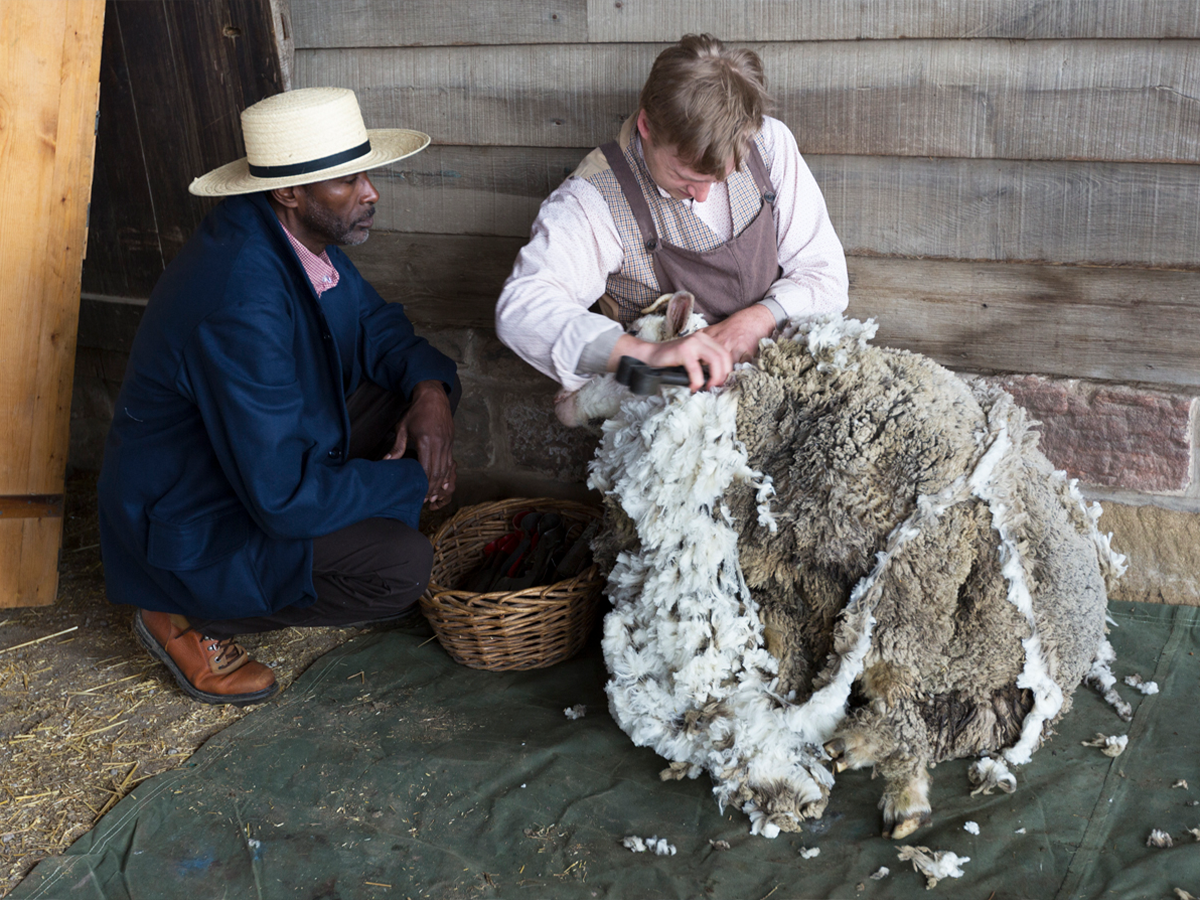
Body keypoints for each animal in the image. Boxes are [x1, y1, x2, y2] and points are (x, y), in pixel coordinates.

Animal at [585, 301, 1127, 840]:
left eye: (635, 335)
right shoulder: (785, 586)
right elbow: (785, 651)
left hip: (922, 593)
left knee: (909, 694)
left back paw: (892, 788)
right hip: (970, 668)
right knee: (954, 723)